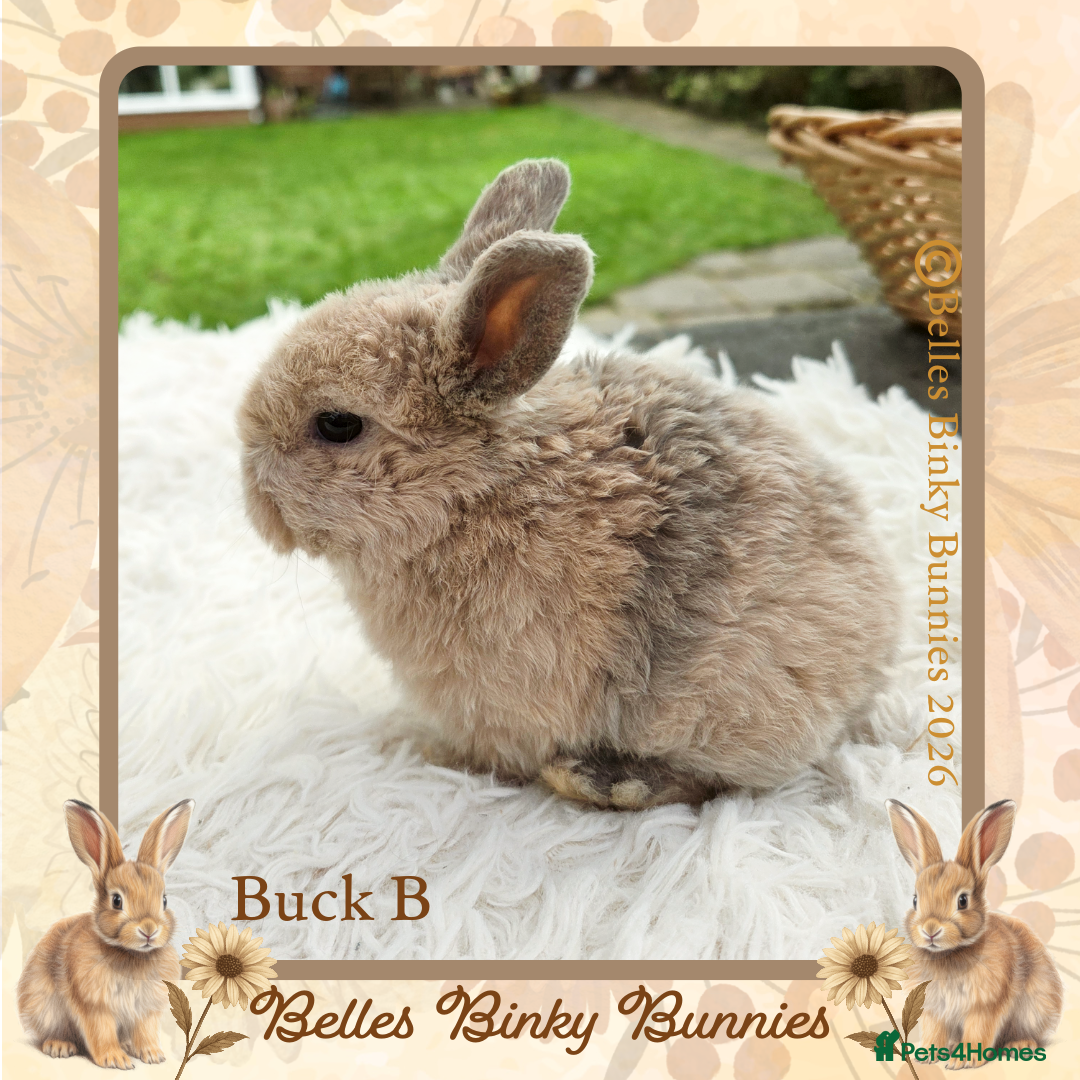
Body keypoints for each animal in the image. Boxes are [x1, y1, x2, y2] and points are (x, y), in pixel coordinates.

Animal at [17, 799, 195, 1068]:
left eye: (164, 900)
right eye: (117, 901)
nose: (149, 930)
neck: (131, 954)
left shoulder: (145, 1010)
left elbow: (145, 1031)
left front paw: (153, 1055)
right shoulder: (95, 1005)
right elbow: (101, 1031)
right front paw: (116, 1060)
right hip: (45, 1008)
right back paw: (59, 1046)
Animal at [238, 157, 899, 809]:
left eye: (338, 424)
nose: (255, 500)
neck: (475, 490)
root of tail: (876, 660)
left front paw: (429, 752)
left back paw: (603, 781)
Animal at [886, 798, 1063, 1066]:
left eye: (962, 901)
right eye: (915, 900)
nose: (930, 930)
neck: (950, 954)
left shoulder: (984, 1005)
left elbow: (978, 1031)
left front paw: (963, 1061)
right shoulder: (935, 1009)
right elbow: (934, 1031)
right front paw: (926, 1056)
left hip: (1034, 1009)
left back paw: (1019, 1045)